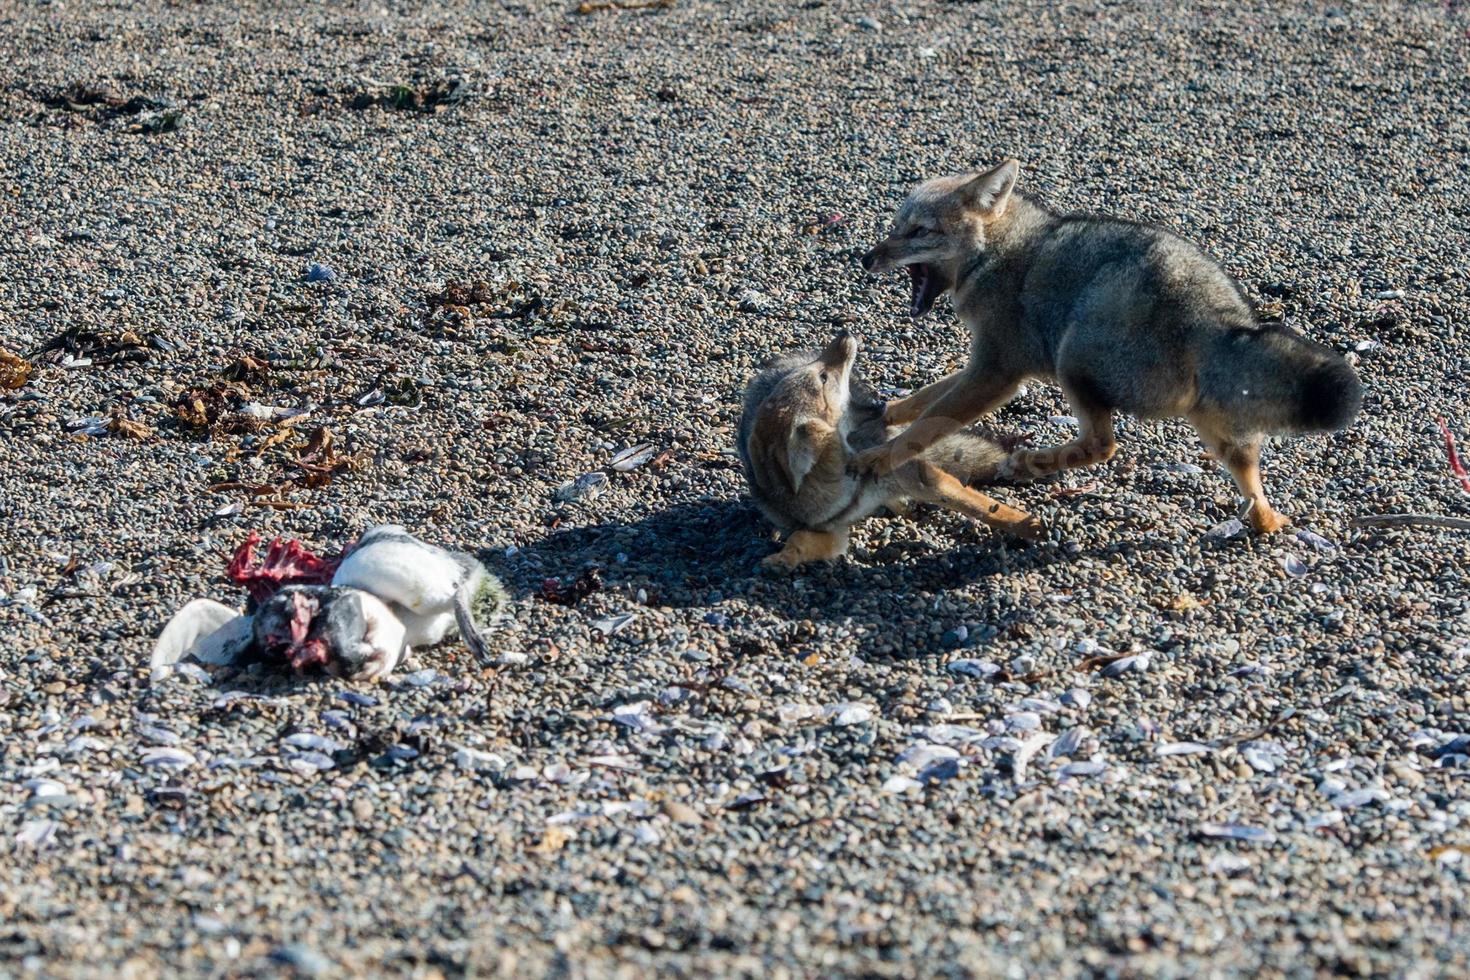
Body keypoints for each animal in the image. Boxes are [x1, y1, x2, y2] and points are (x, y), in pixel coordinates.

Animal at [740, 333, 1040, 570]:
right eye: (823, 377)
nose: (843, 332)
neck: (843, 488)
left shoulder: (919, 476)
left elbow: (981, 506)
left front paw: (1030, 526)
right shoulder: (831, 532)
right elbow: (799, 539)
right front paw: (783, 558)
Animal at [858, 160, 1358, 531]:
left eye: (919, 231)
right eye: (896, 226)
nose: (865, 258)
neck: (998, 250)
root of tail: (1219, 320)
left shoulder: (998, 370)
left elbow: (928, 424)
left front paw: (879, 455)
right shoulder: (986, 365)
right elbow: (926, 398)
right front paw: (886, 412)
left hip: (1072, 354)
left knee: (1102, 445)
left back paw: (1031, 462)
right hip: (1216, 423)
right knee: (1248, 478)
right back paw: (1265, 520)